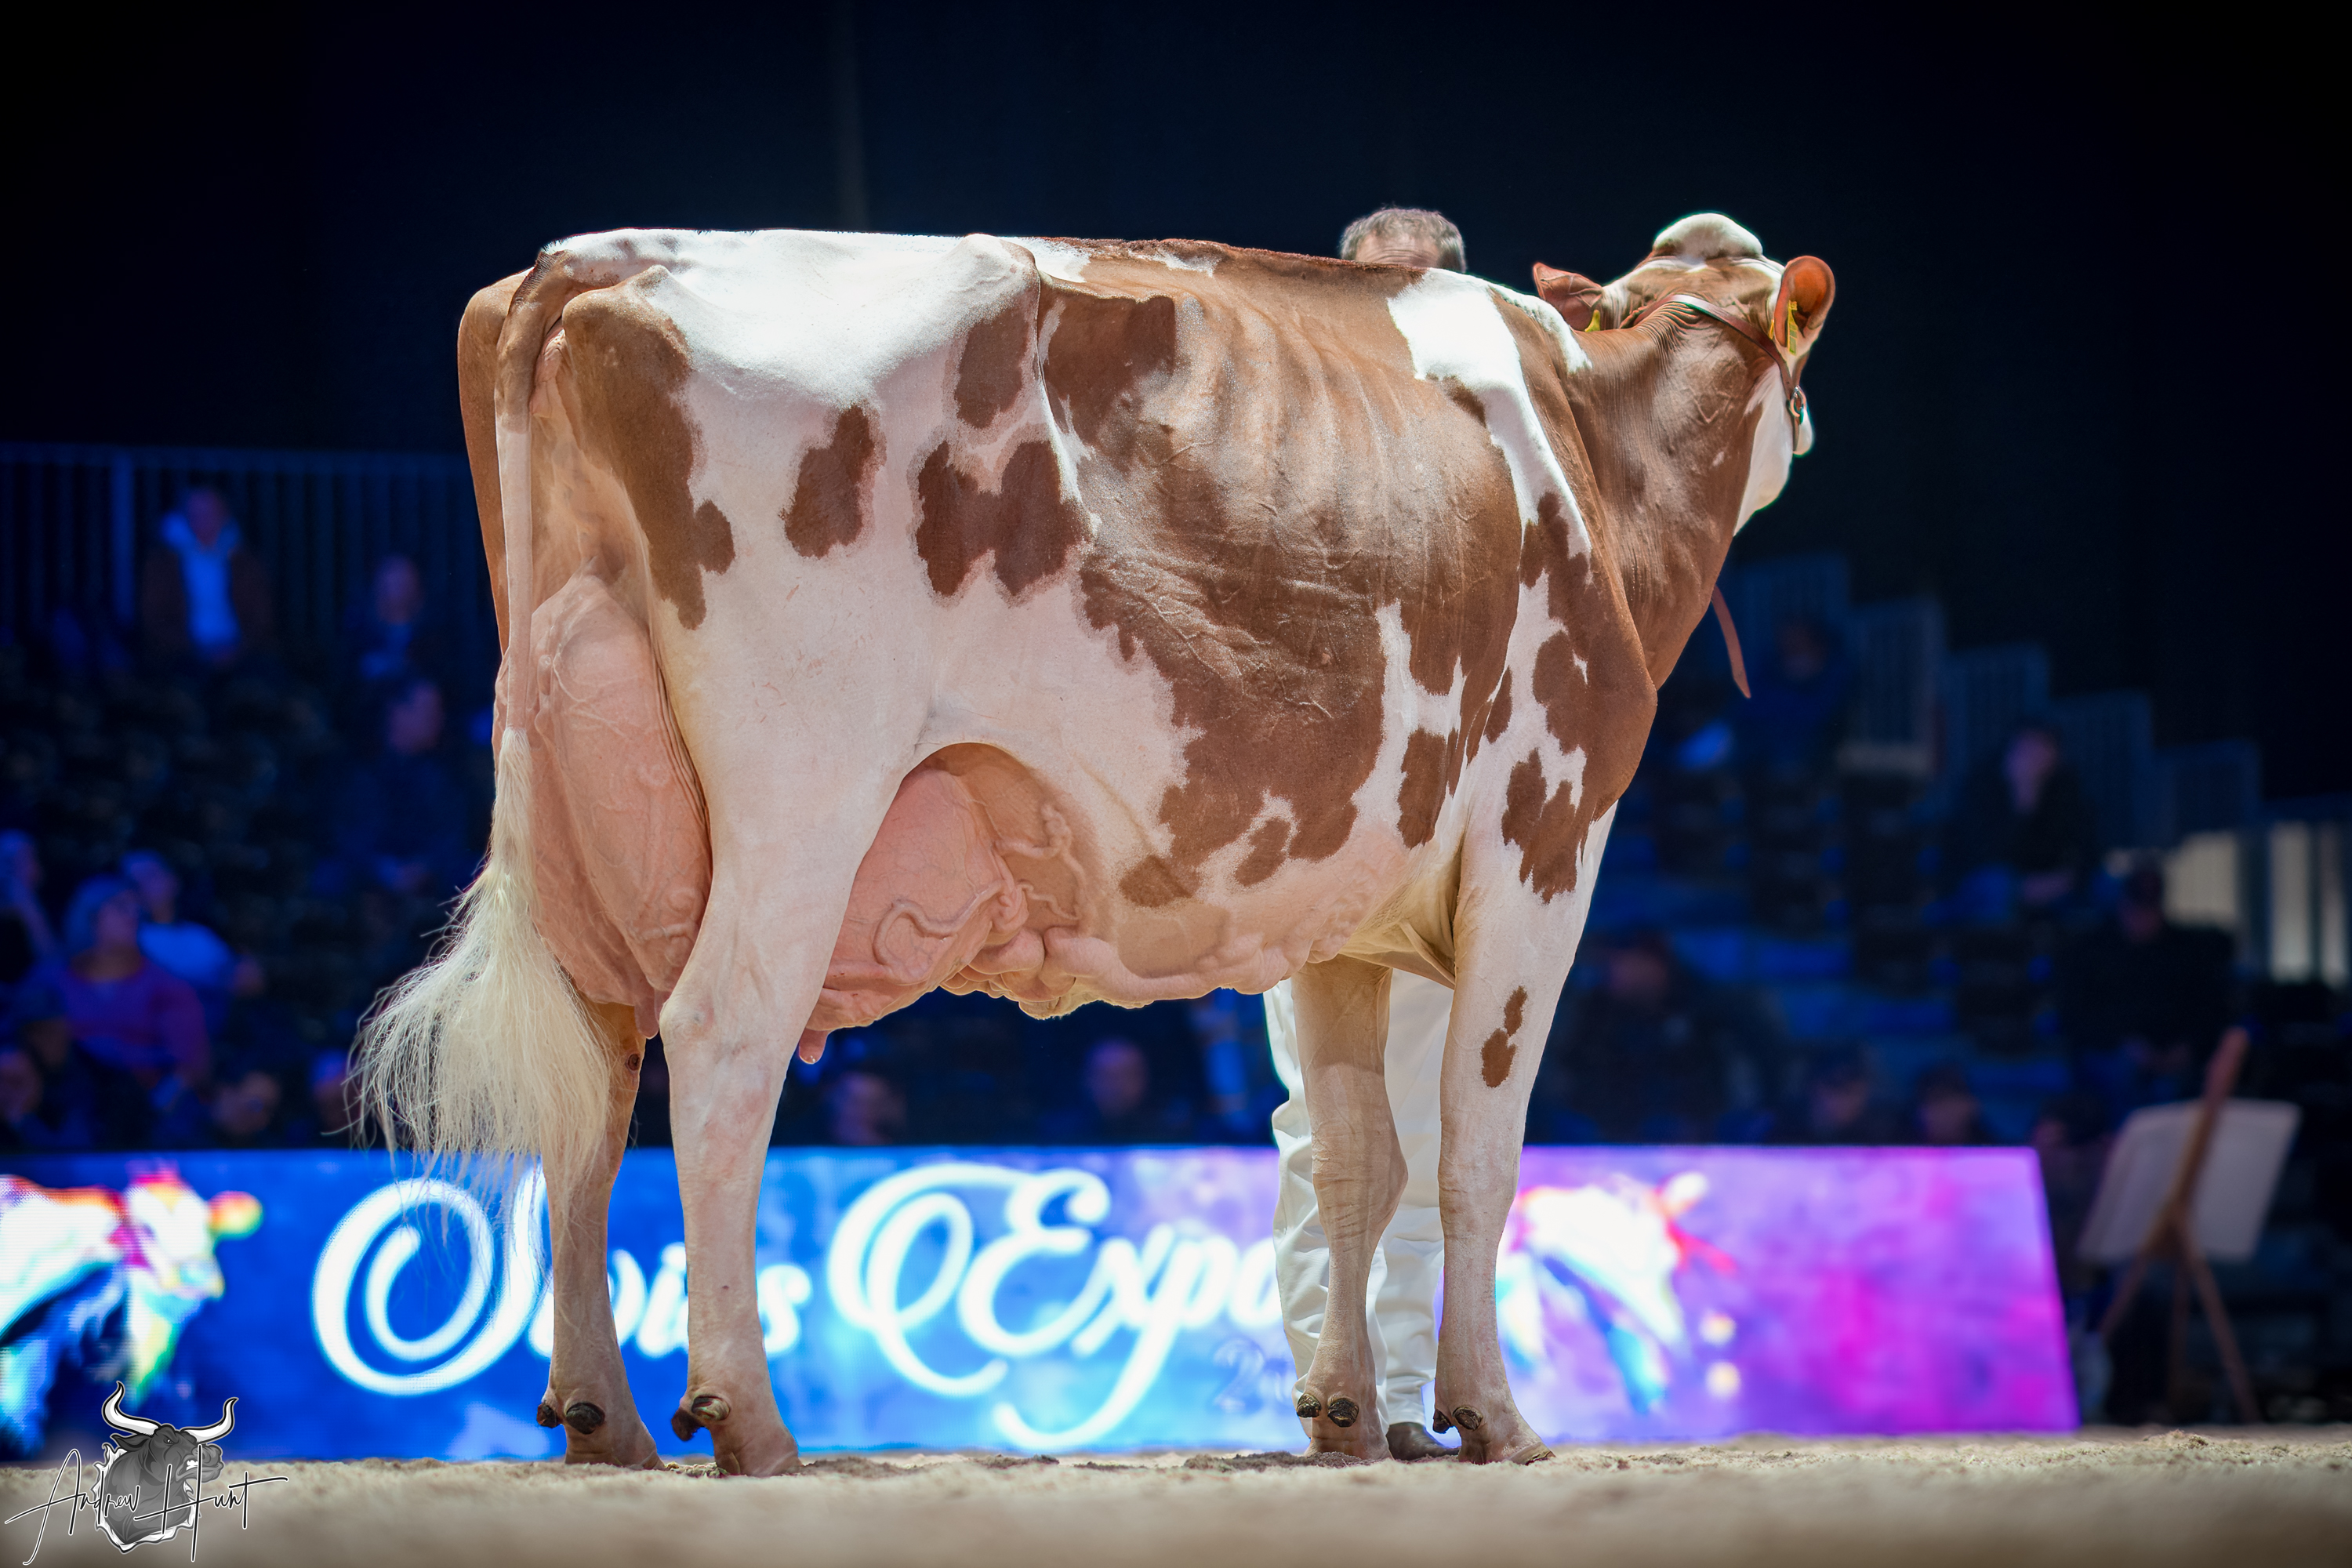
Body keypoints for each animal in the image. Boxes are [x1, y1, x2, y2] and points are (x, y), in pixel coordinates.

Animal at [360, 212, 1833, 1473]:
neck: (1595, 447)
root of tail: (601, 259)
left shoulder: (1340, 902)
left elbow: (1354, 1154)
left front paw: (1351, 1413)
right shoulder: (1545, 836)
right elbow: (1479, 1144)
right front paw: (1495, 1417)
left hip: (582, 782)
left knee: (593, 1069)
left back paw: (603, 1417)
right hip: (803, 789)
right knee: (721, 1039)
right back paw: (751, 1421)